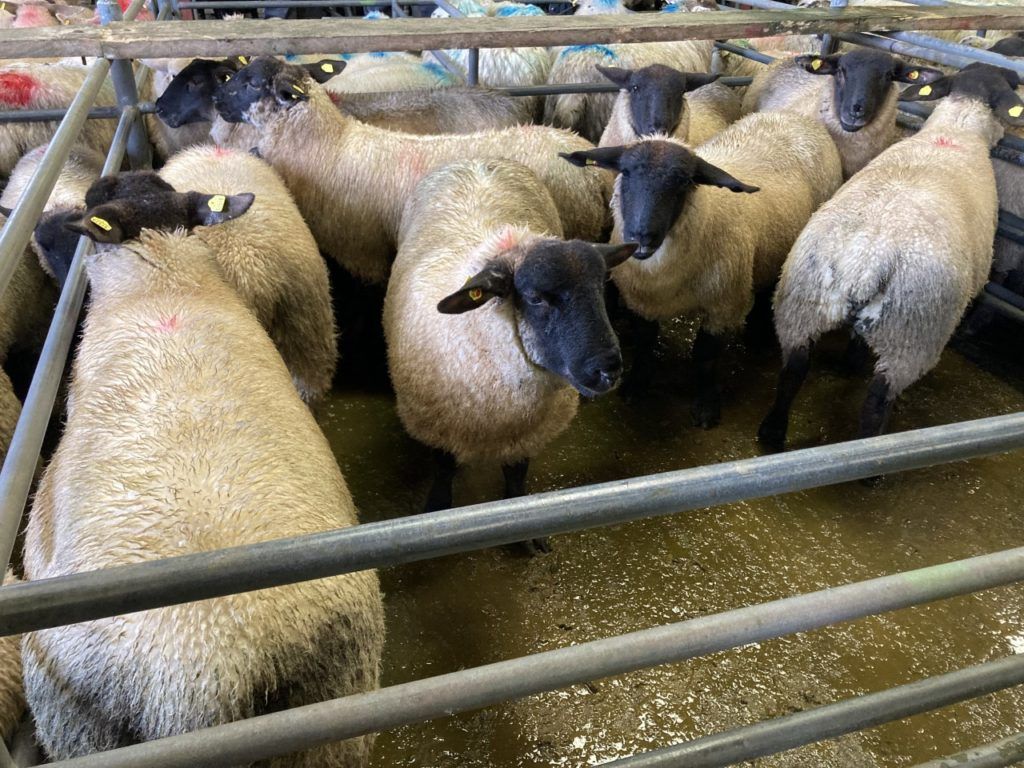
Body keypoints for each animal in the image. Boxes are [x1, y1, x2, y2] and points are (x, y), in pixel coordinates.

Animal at [23, 190, 384, 764]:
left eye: (87, 211)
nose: (40, 228)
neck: (164, 285)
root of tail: (205, 678)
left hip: (76, 728)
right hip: (333, 721)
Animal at [385, 159, 634, 551]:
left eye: (601, 286)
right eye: (535, 297)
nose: (608, 371)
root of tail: (476, 159)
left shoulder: (530, 430)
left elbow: (517, 472)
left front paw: (523, 526)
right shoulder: (438, 424)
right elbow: (444, 469)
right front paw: (437, 510)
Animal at [562, 110, 842, 427]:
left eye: (682, 182)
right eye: (627, 172)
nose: (642, 235)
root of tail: (793, 115)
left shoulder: (723, 304)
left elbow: (705, 357)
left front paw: (706, 405)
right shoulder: (641, 301)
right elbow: (645, 345)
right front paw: (636, 385)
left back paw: (758, 336)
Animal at [758, 64, 1018, 449]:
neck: (955, 131)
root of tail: (865, 261)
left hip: (802, 306)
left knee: (793, 370)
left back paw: (773, 433)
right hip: (910, 336)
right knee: (877, 401)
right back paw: (871, 451)